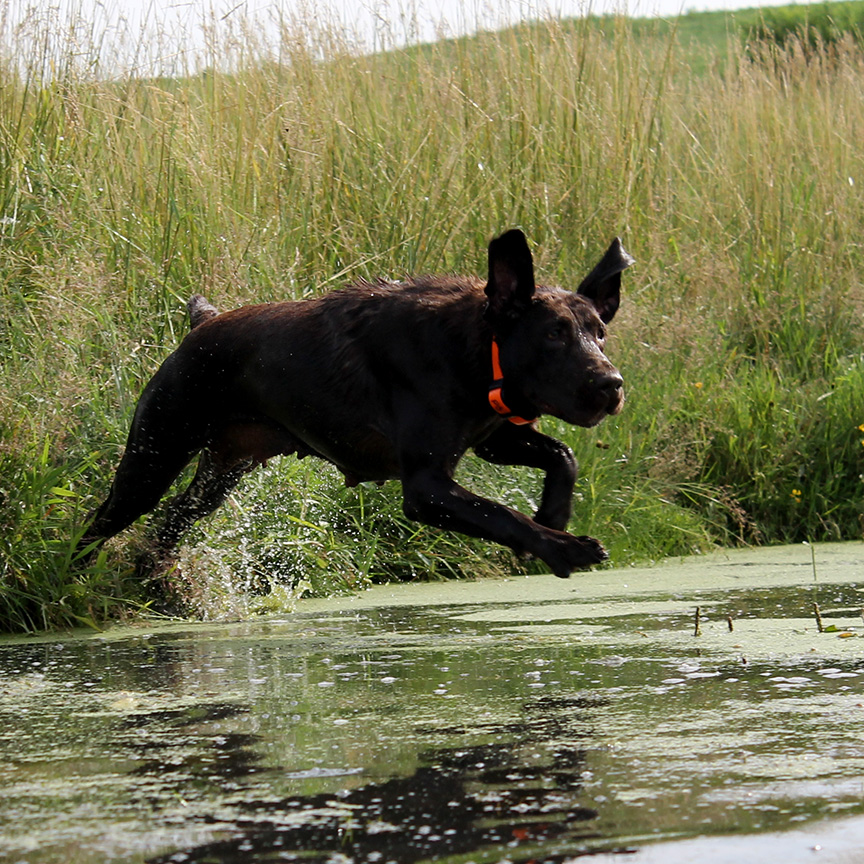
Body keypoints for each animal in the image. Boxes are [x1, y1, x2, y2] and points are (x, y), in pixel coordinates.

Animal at [79, 231, 636, 580]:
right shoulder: (426, 487)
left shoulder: (491, 438)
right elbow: (503, 514)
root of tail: (201, 325)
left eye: (600, 333)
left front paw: (555, 516)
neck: (476, 352)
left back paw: (153, 577)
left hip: (222, 468)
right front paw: (564, 547)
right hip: (154, 455)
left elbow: (563, 456)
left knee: (173, 519)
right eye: (553, 335)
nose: (611, 384)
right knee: (100, 523)